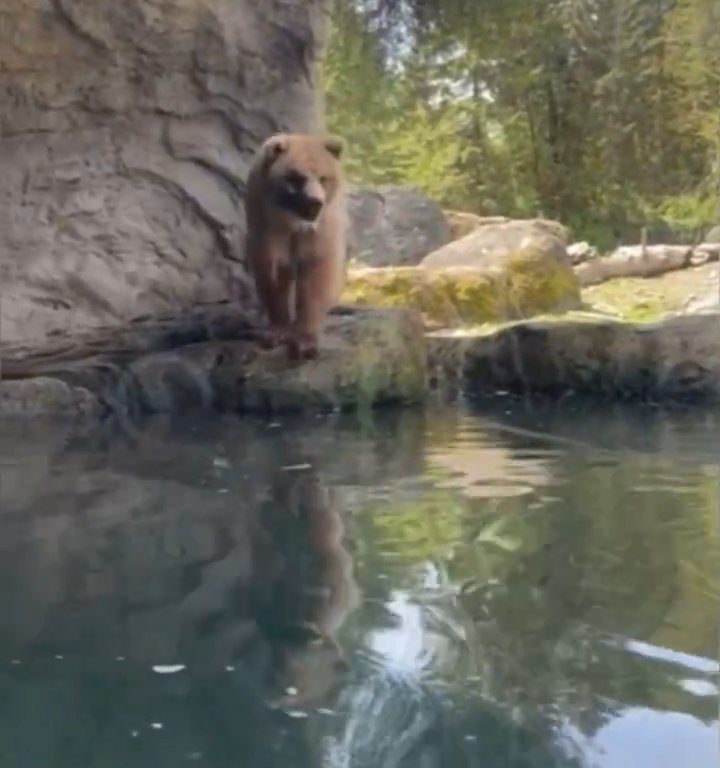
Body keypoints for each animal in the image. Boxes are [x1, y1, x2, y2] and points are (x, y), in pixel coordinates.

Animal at [243, 133, 348, 360]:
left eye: (323, 177)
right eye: (296, 178)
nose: (315, 202)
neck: (292, 222)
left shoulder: (320, 232)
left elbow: (315, 278)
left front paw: (305, 342)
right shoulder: (265, 227)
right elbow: (272, 276)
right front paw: (277, 333)